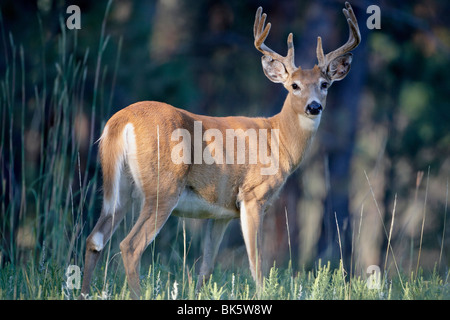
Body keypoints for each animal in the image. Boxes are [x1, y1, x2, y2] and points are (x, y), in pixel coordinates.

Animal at [81, 1, 360, 300]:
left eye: (325, 84)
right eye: (294, 86)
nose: (314, 106)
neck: (278, 138)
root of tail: (119, 122)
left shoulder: (221, 213)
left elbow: (206, 267)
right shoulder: (253, 195)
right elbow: (256, 263)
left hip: (119, 188)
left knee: (95, 239)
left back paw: (84, 292)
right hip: (162, 188)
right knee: (130, 246)